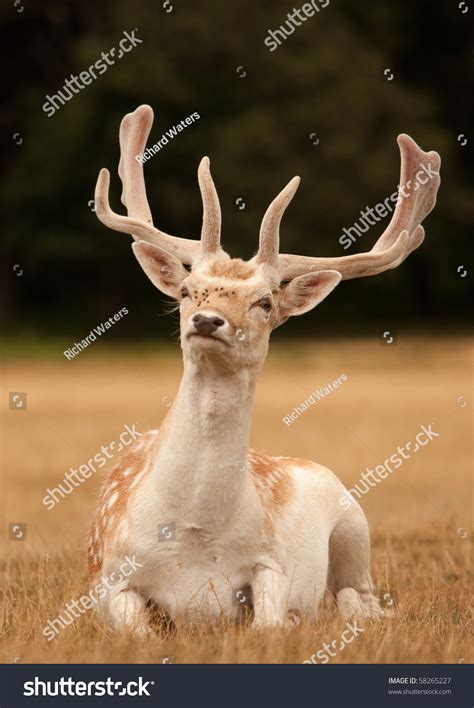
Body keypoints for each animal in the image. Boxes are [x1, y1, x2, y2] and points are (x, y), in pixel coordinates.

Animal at [88, 103, 440, 632]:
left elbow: (269, 622)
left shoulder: (270, 561)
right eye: (188, 290)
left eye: (265, 302)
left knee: (363, 598)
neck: (192, 536)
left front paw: (293, 619)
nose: (207, 320)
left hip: (355, 526)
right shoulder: (109, 578)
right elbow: (139, 632)